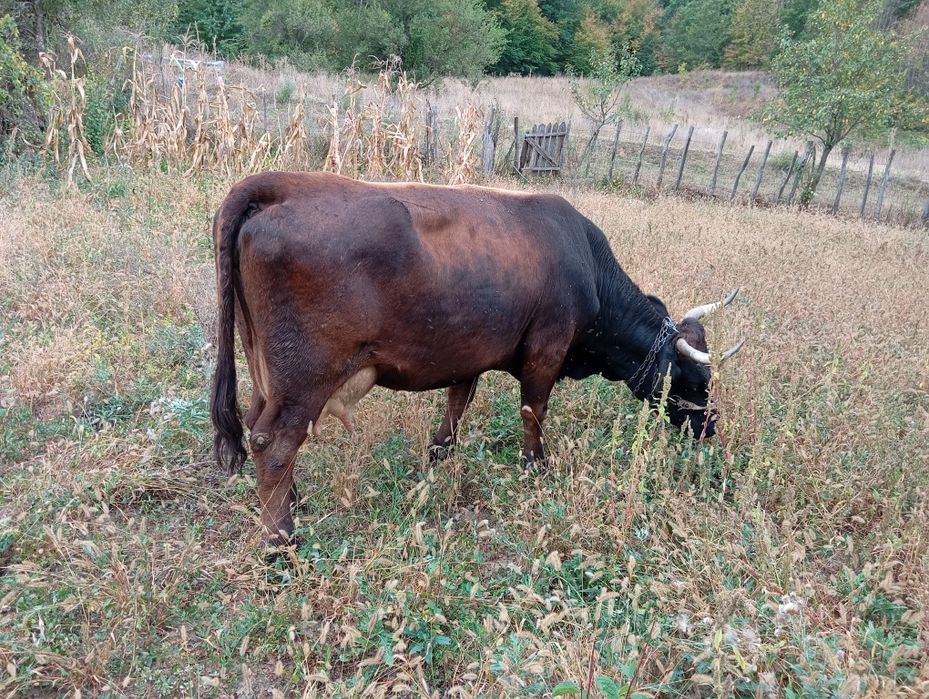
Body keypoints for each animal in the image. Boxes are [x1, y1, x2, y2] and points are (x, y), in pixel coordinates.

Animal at [210, 172, 743, 544]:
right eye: (695, 379)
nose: (710, 427)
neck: (589, 268)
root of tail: (281, 185)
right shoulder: (546, 350)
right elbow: (533, 411)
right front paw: (535, 465)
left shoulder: (467, 356)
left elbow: (457, 404)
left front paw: (439, 453)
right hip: (306, 375)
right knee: (274, 441)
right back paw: (282, 535)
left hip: (266, 369)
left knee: (258, 423)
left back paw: (291, 498)